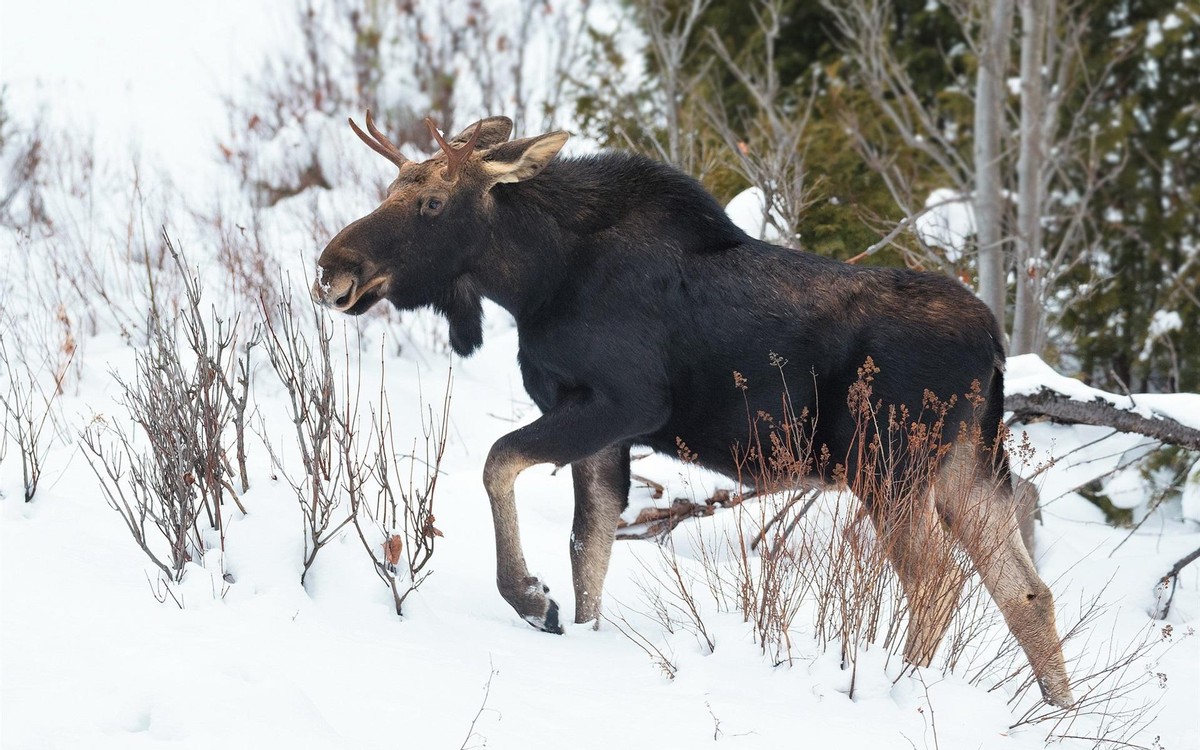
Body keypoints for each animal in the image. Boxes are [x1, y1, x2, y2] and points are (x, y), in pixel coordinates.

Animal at [314, 108, 1075, 705]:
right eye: (392, 189)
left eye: (433, 204)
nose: (333, 268)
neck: (532, 279)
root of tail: (994, 347)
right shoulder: (604, 430)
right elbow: (588, 548)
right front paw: (571, 621)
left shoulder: (622, 403)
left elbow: (500, 464)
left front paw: (532, 599)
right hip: (968, 465)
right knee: (1027, 591)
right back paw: (1058, 712)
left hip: (889, 466)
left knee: (938, 583)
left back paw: (905, 689)